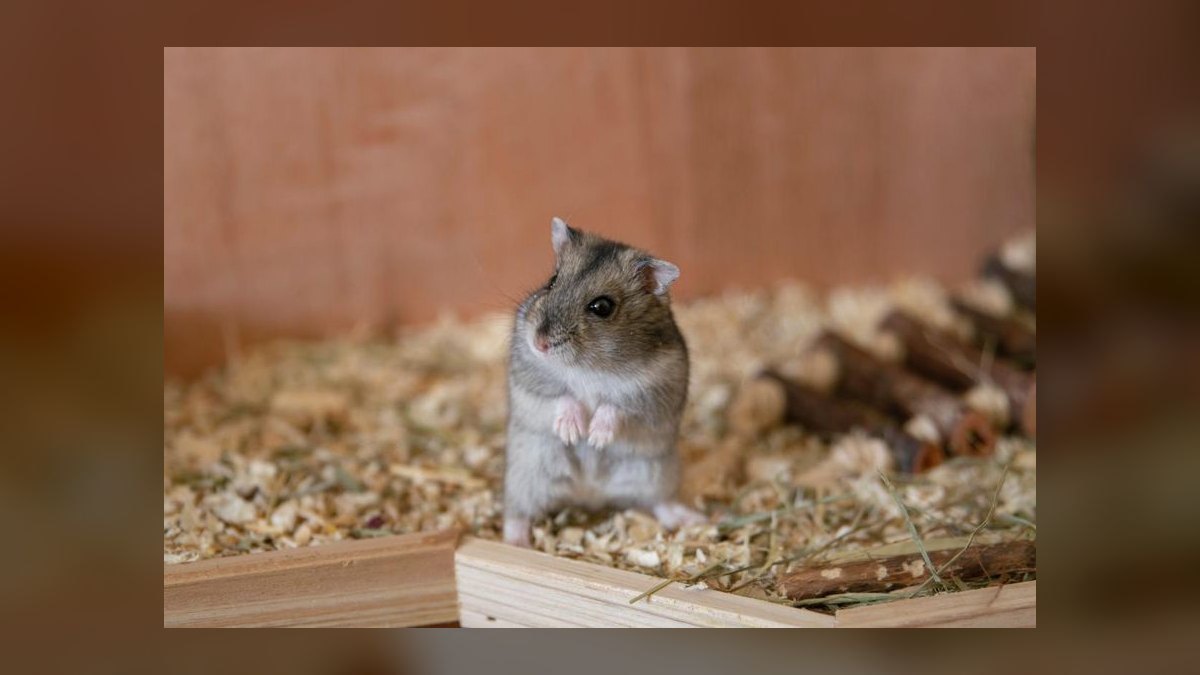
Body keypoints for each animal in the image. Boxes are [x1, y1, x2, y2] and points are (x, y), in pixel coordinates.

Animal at [502, 217, 706, 547]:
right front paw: (573, 433)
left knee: (661, 503)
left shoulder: (653, 391)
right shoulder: (529, 377)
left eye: (602, 307)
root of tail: (589, 494)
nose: (540, 343)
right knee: (516, 513)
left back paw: (695, 519)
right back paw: (516, 543)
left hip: (656, 473)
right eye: (552, 280)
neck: (589, 366)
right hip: (526, 474)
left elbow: (616, 407)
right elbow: (562, 396)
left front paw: (596, 437)